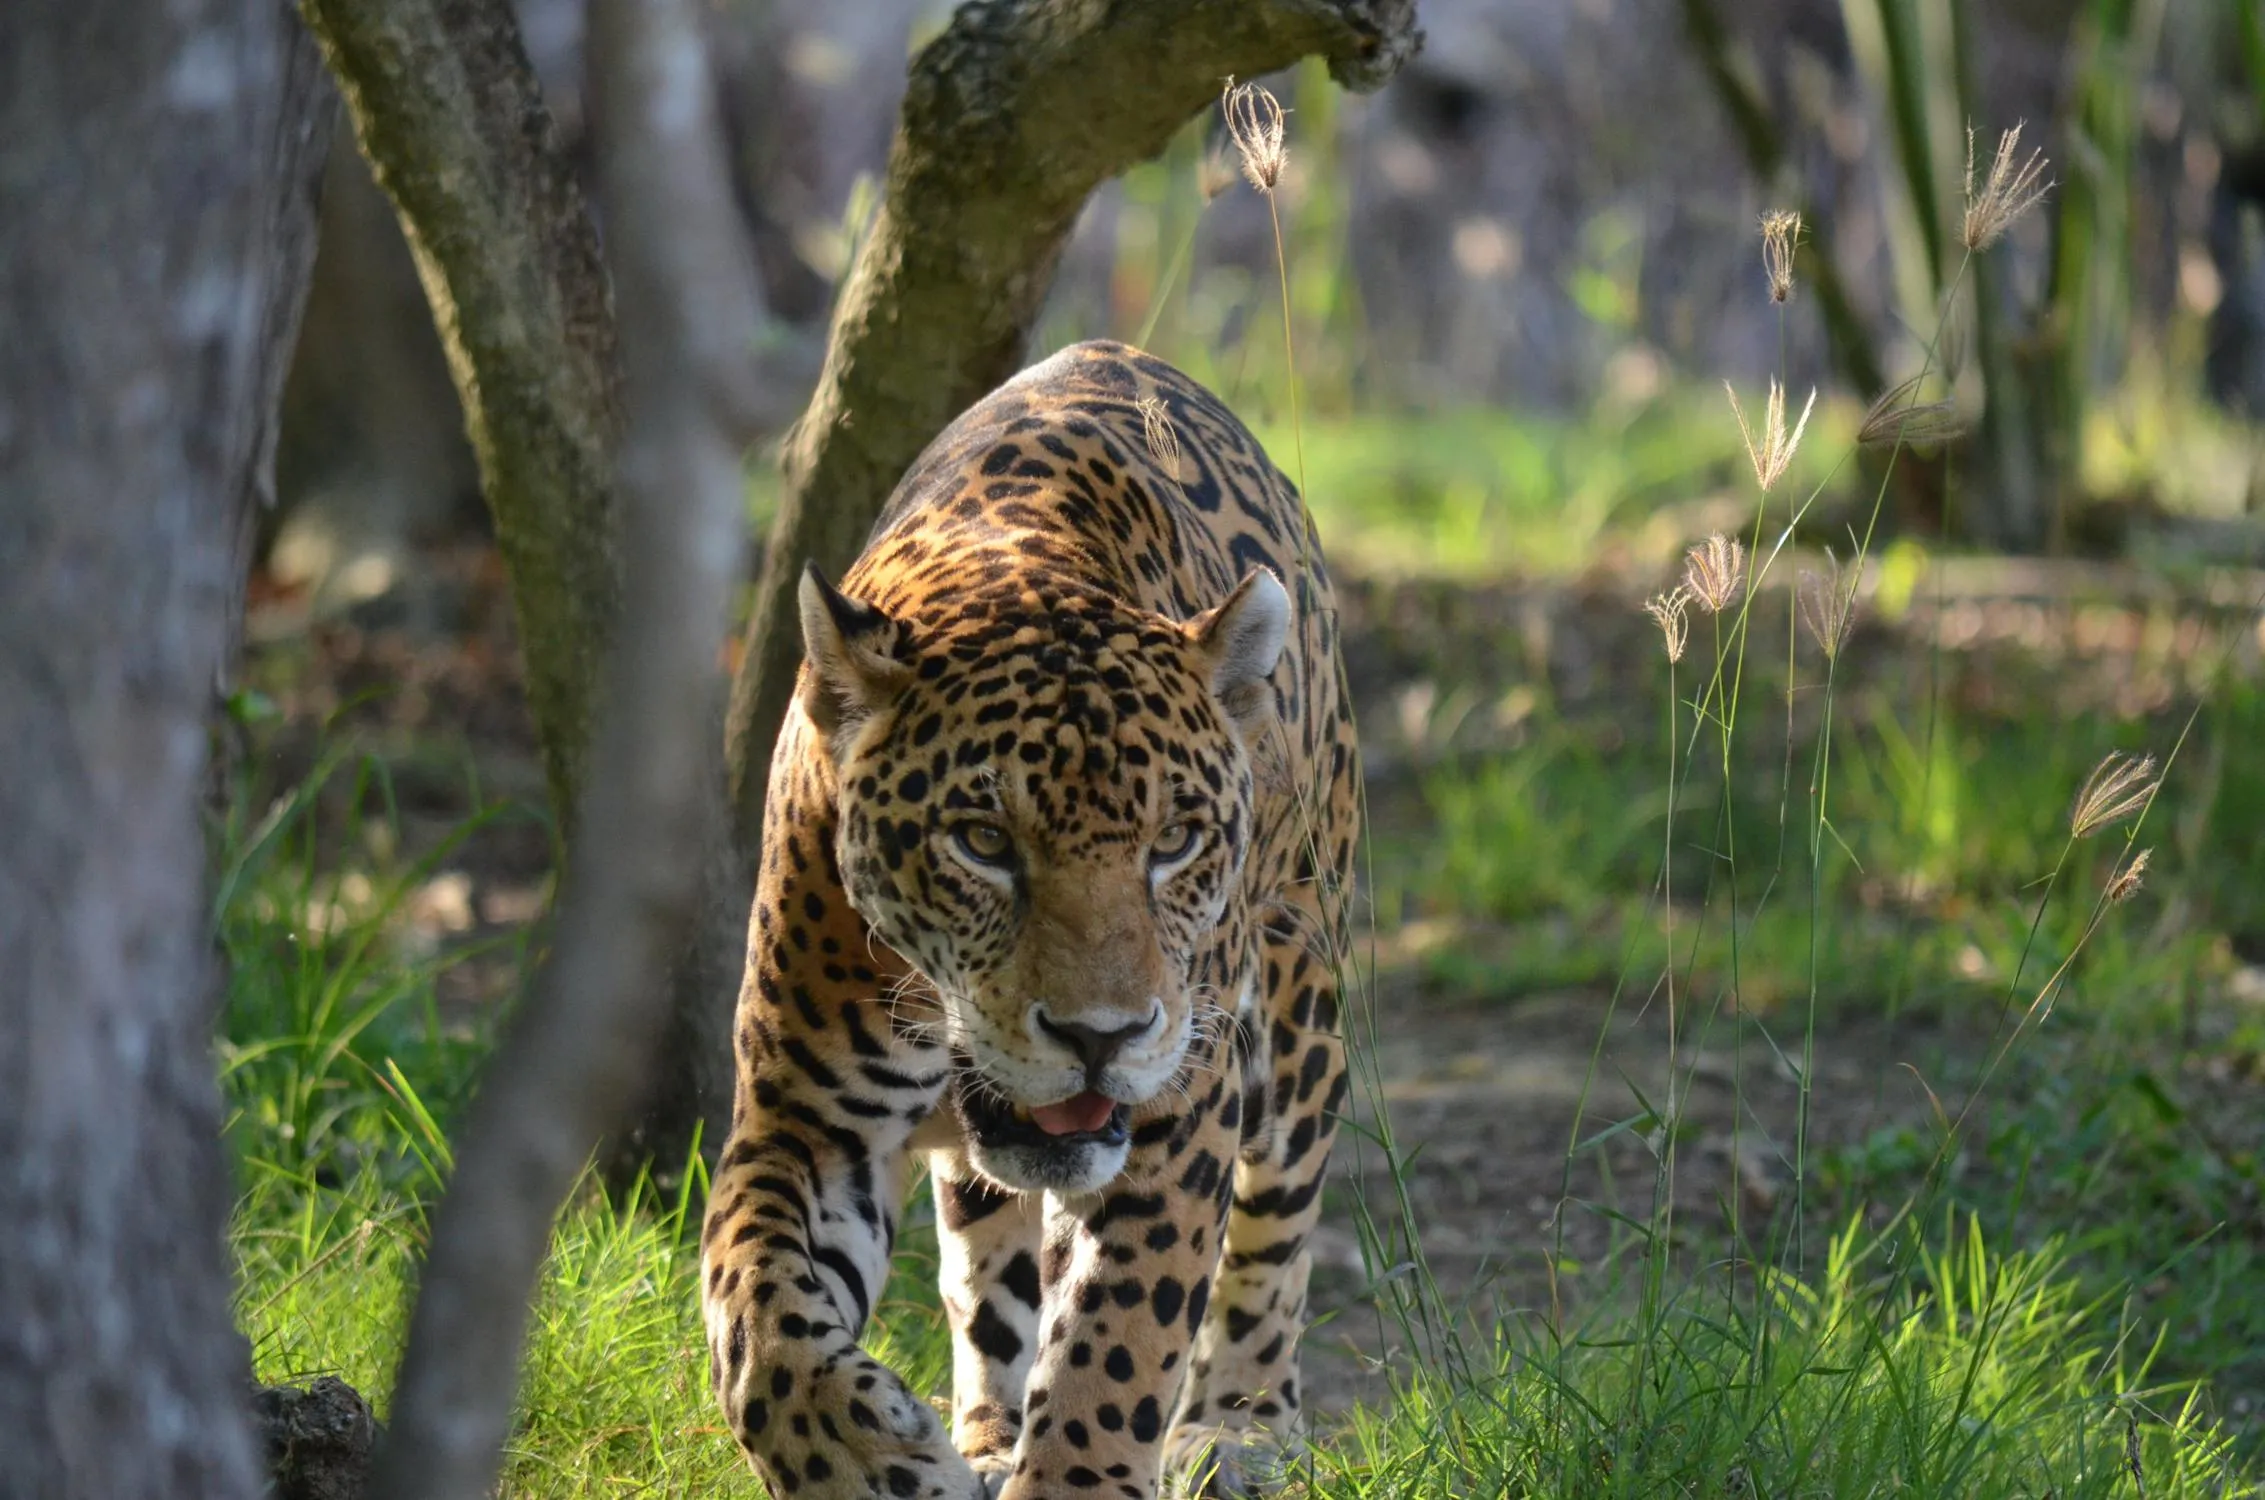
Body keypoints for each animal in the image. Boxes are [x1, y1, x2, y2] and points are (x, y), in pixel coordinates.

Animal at [700, 339, 1360, 1500]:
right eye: (982, 841)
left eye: (1175, 840)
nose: (1102, 1037)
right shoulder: (804, 1122)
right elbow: (758, 1313)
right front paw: (869, 1459)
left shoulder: (1181, 1108)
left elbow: (1118, 1337)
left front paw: (1080, 1477)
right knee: (986, 1268)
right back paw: (984, 1436)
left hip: (1299, 1005)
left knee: (1274, 1233)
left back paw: (1237, 1427)